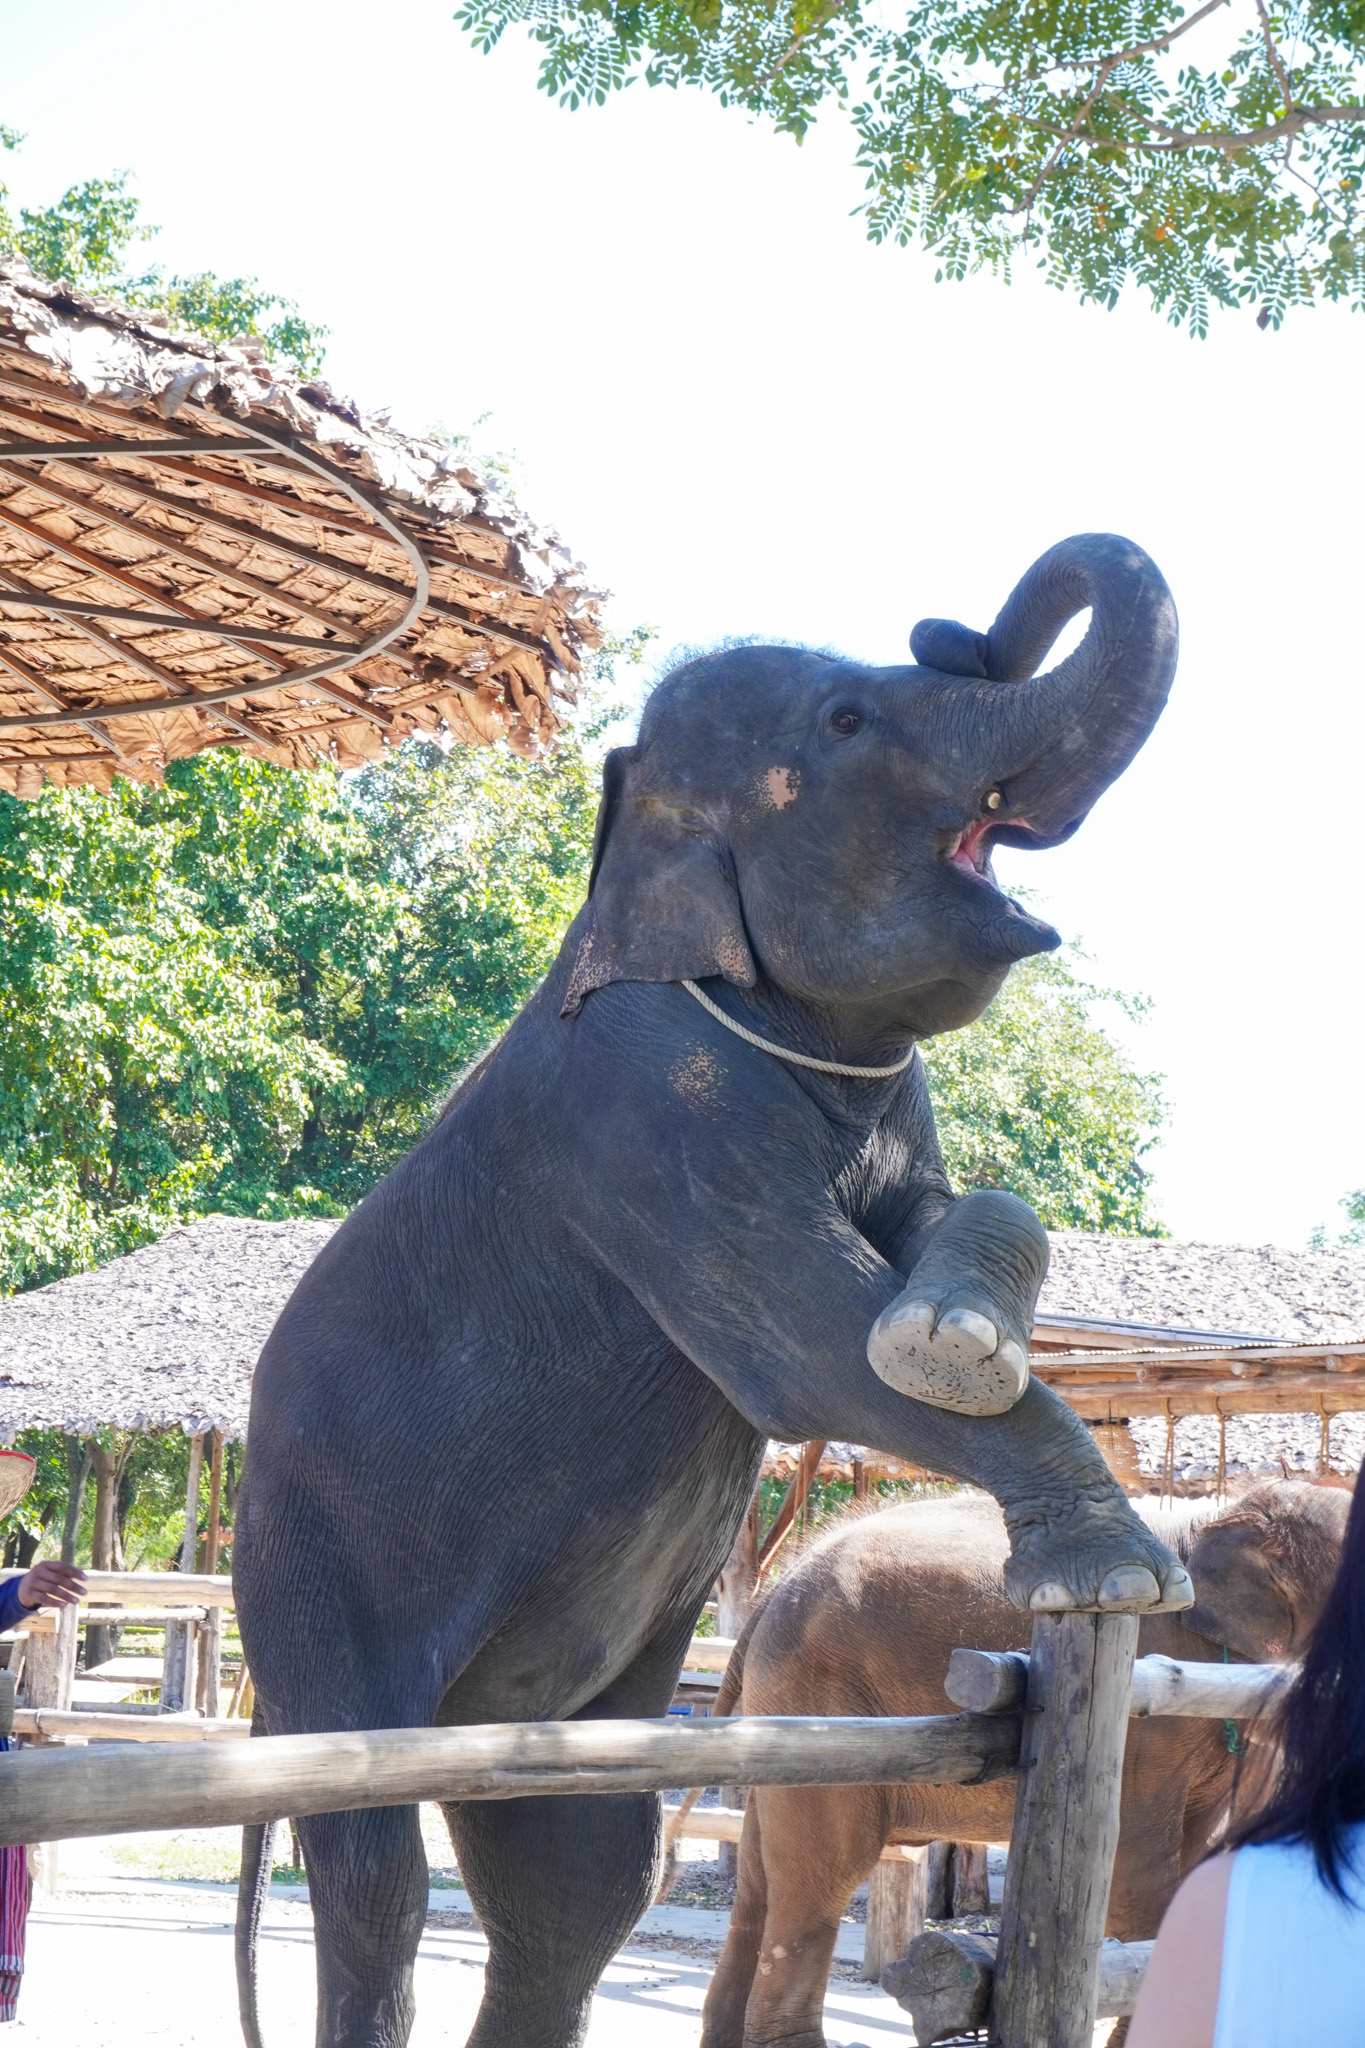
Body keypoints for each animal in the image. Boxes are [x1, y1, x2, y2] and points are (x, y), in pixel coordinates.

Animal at [233, 532, 1190, 2048]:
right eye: (848, 722)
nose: (962, 627)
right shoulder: (645, 1105)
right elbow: (802, 1343)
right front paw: (1118, 1572)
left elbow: (939, 1227)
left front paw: (952, 1333)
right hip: (306, 1569)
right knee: (374, 1861)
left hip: (556, 1708)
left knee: (579, 1873)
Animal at [697, 1480, 1350, 2048]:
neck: (1220, 1516)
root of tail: (770, 1596)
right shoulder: (1142, 1719)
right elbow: (1140, 1888)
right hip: (820, 1701)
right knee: (822, 1873)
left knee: (759, 1882)